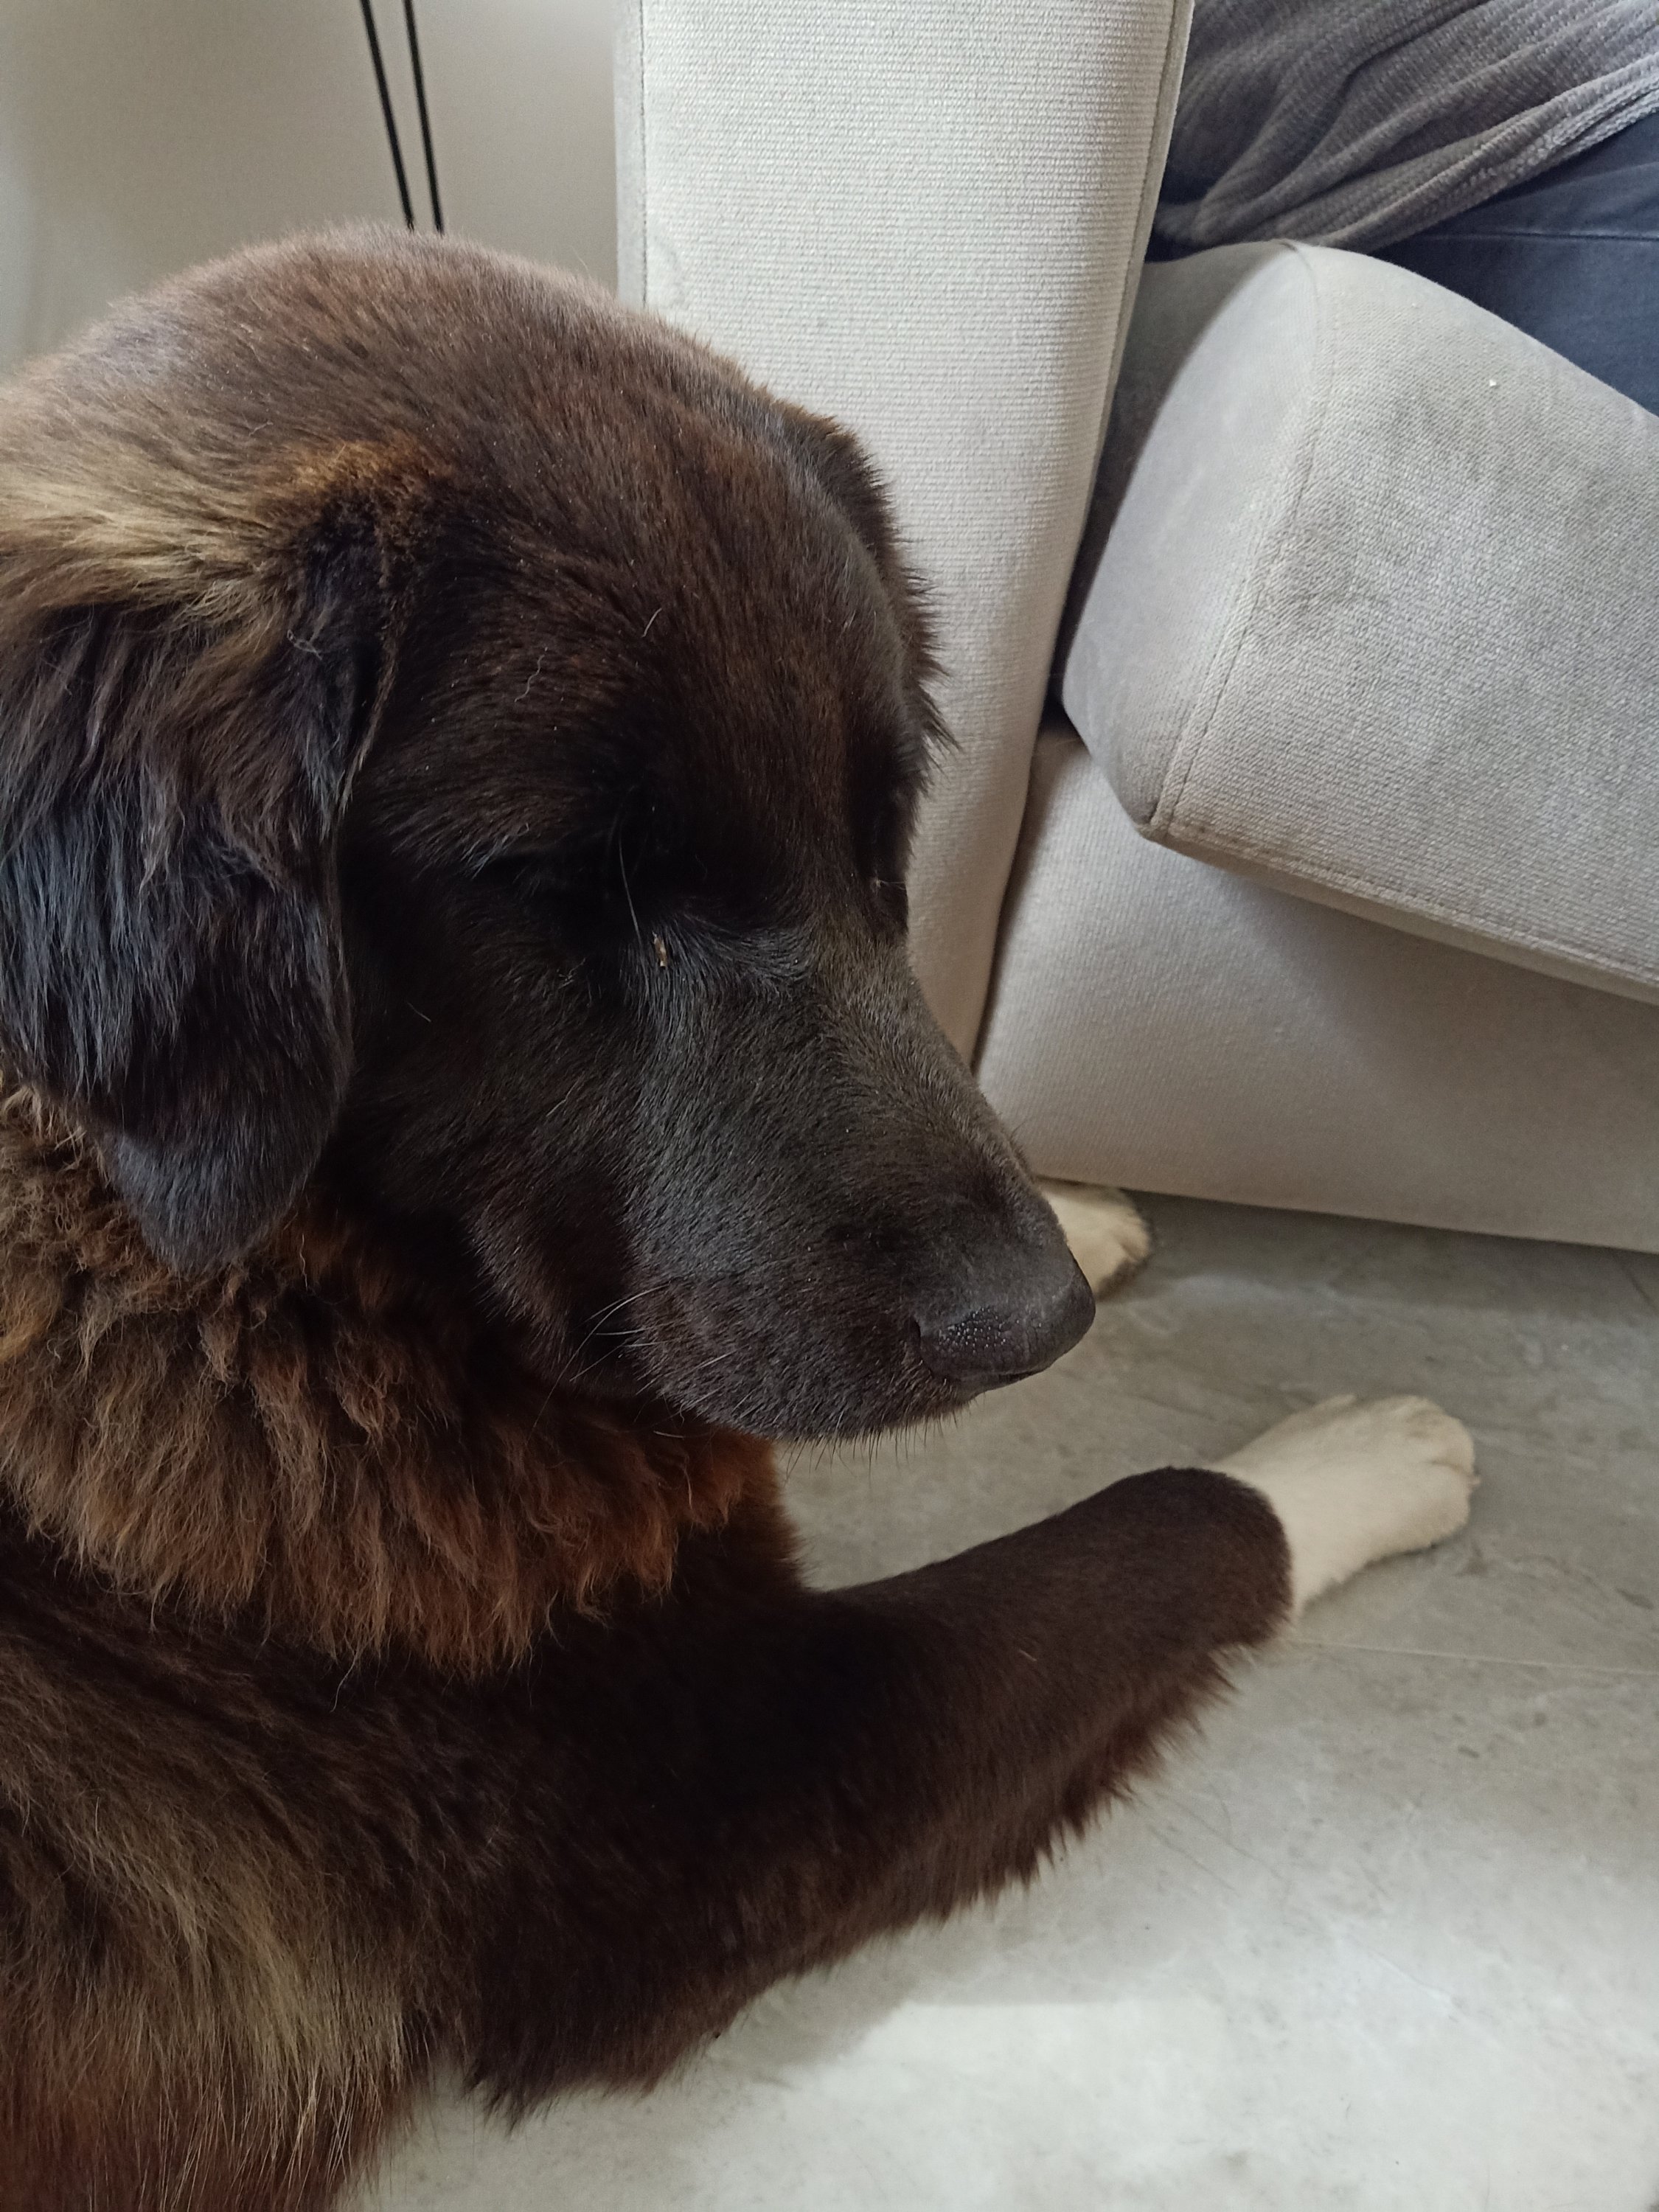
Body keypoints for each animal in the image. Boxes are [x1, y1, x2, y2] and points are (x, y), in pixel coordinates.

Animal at [0, 229, 1475, 2212]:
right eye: (565, 887)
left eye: (884, 836)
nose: (1032, 1324)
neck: (252, 1293)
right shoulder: (708, 1795)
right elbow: (1159, 1524)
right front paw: (1351, 1456)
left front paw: (1088, 1219)